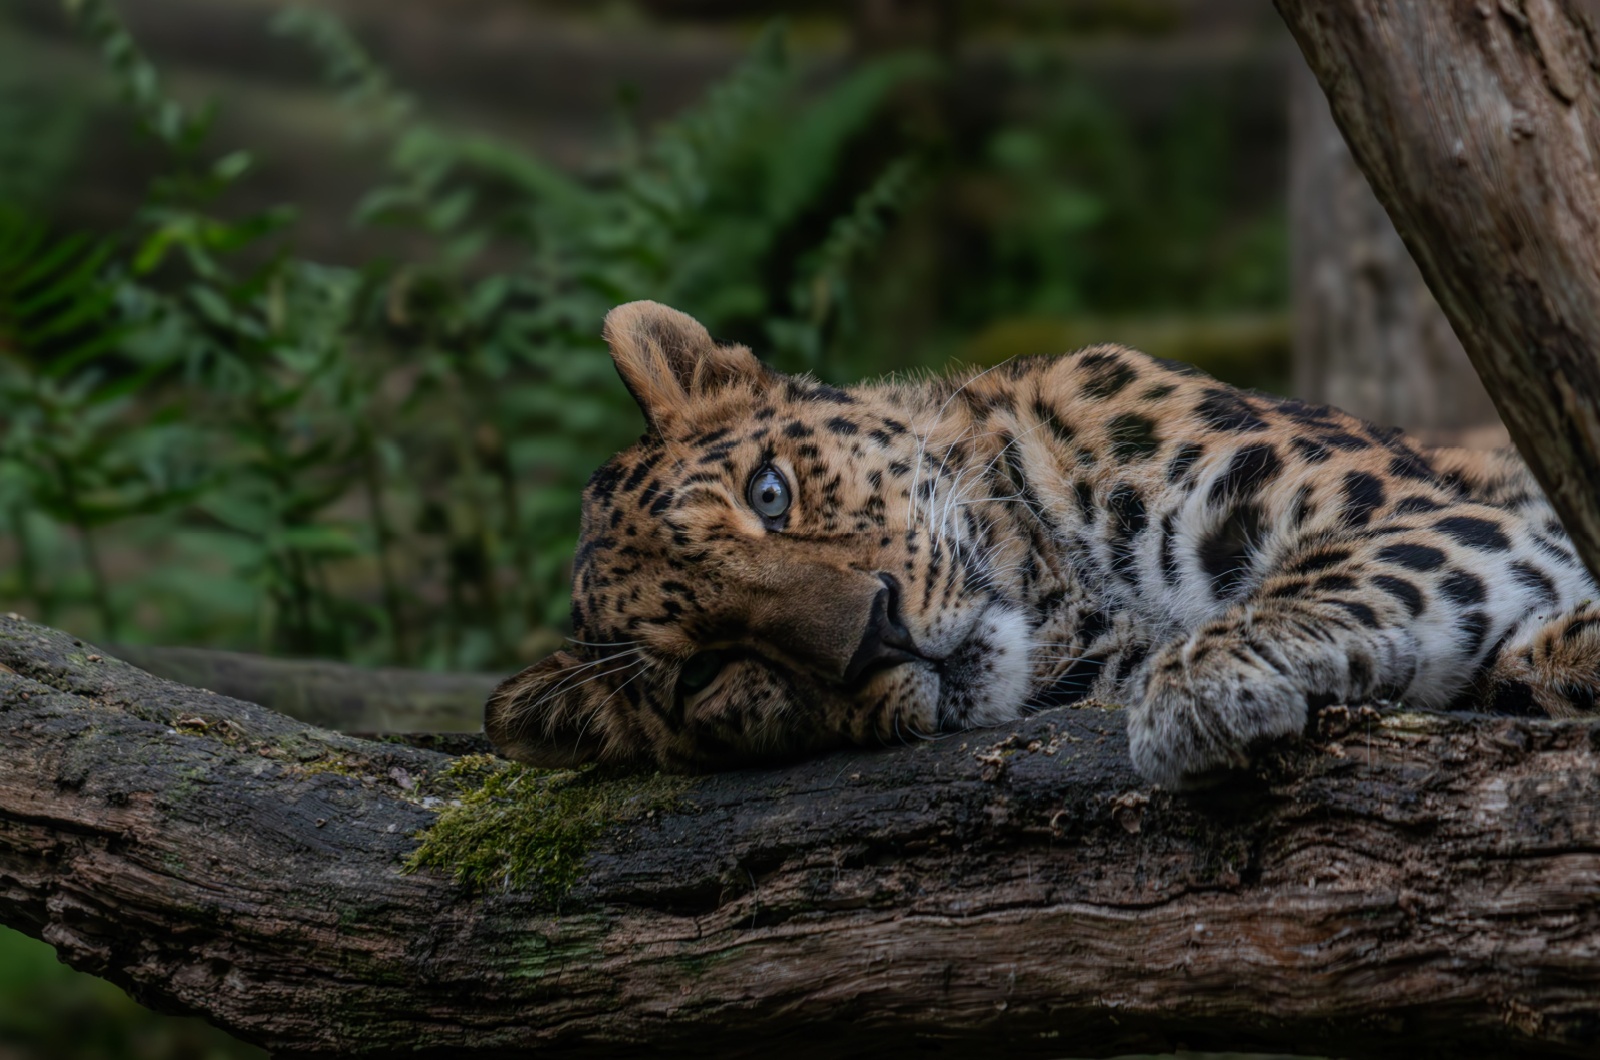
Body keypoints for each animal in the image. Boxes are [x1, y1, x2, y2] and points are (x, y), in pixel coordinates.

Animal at [483, 299, 1600, 787]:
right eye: (705, 671)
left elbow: (1345, 569)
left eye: (771, 493)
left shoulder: (1411, 507)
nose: (873, 633)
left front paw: (1202, 688)